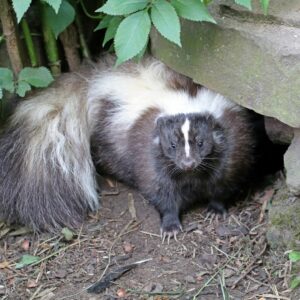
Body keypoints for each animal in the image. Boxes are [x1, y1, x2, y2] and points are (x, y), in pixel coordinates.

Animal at [0, 55, 255, 236]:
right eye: (172, 145)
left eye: (201, 142)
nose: (188, 162)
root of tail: (94, 81)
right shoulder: (148, 152)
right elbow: (160, 189)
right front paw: (170, 224)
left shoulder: (232, 145)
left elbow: (225, 181)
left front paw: (216, 209)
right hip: (109, 135)